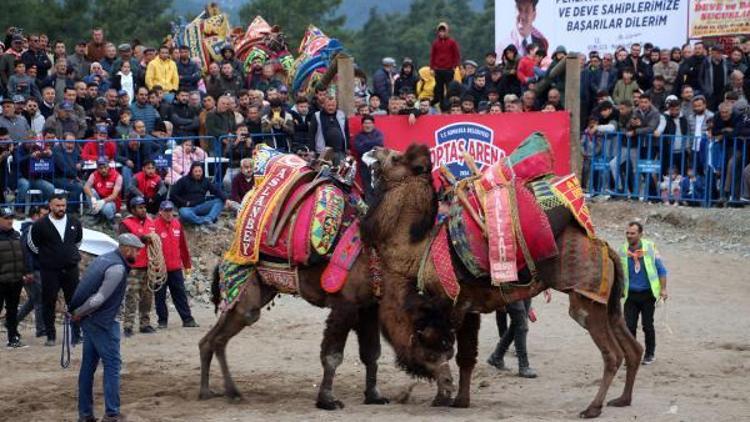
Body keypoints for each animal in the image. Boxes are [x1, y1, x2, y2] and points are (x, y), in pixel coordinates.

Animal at [362, 145, 644, 418]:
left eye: (395, 157)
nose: (373, 149)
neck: (418, 253)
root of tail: (605, 247)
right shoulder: (467, 308)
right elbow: (465, 356)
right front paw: (460, 400)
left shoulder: (445, 305)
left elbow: (435, 347)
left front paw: (442, 395)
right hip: (607, 302)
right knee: (633, 348)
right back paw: (623, 399)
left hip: (585, 299)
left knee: (612, 355)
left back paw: (593, 408)